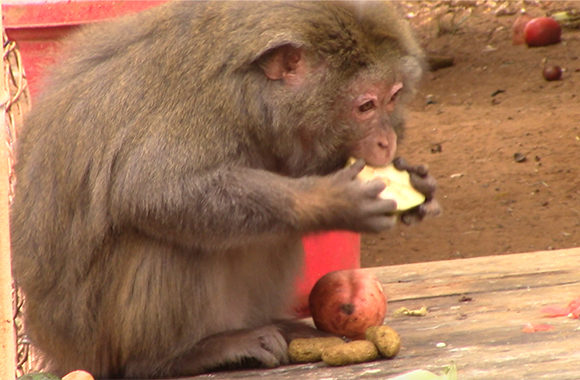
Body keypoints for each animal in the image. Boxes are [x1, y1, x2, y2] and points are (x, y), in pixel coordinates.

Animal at [11, 1, 440, 378]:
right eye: (366, 106)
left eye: (393, 97)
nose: (387, 141)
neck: (249, 92)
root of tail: (59, 350)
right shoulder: (200, 109)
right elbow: (152, 189)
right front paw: (328, 201)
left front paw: (418, 184)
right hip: (95, 341)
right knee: (163, 238)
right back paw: (179, 356)